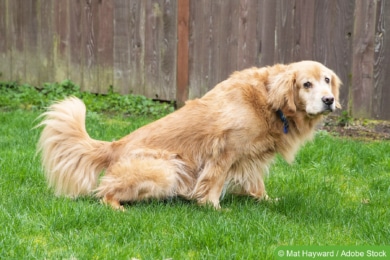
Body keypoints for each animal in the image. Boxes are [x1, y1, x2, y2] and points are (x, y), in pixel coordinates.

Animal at [37, 60, 342, 209]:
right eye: (306, 84)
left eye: (326, 80)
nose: (329, 100)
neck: (268, 100)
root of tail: (115, 145)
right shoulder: (225, 151)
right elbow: (214, 183)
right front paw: (213, 208)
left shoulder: (250, 158)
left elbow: (256, 183)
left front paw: (266, 201)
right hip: (166, 169)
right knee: (104, 192)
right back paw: (118, 207)